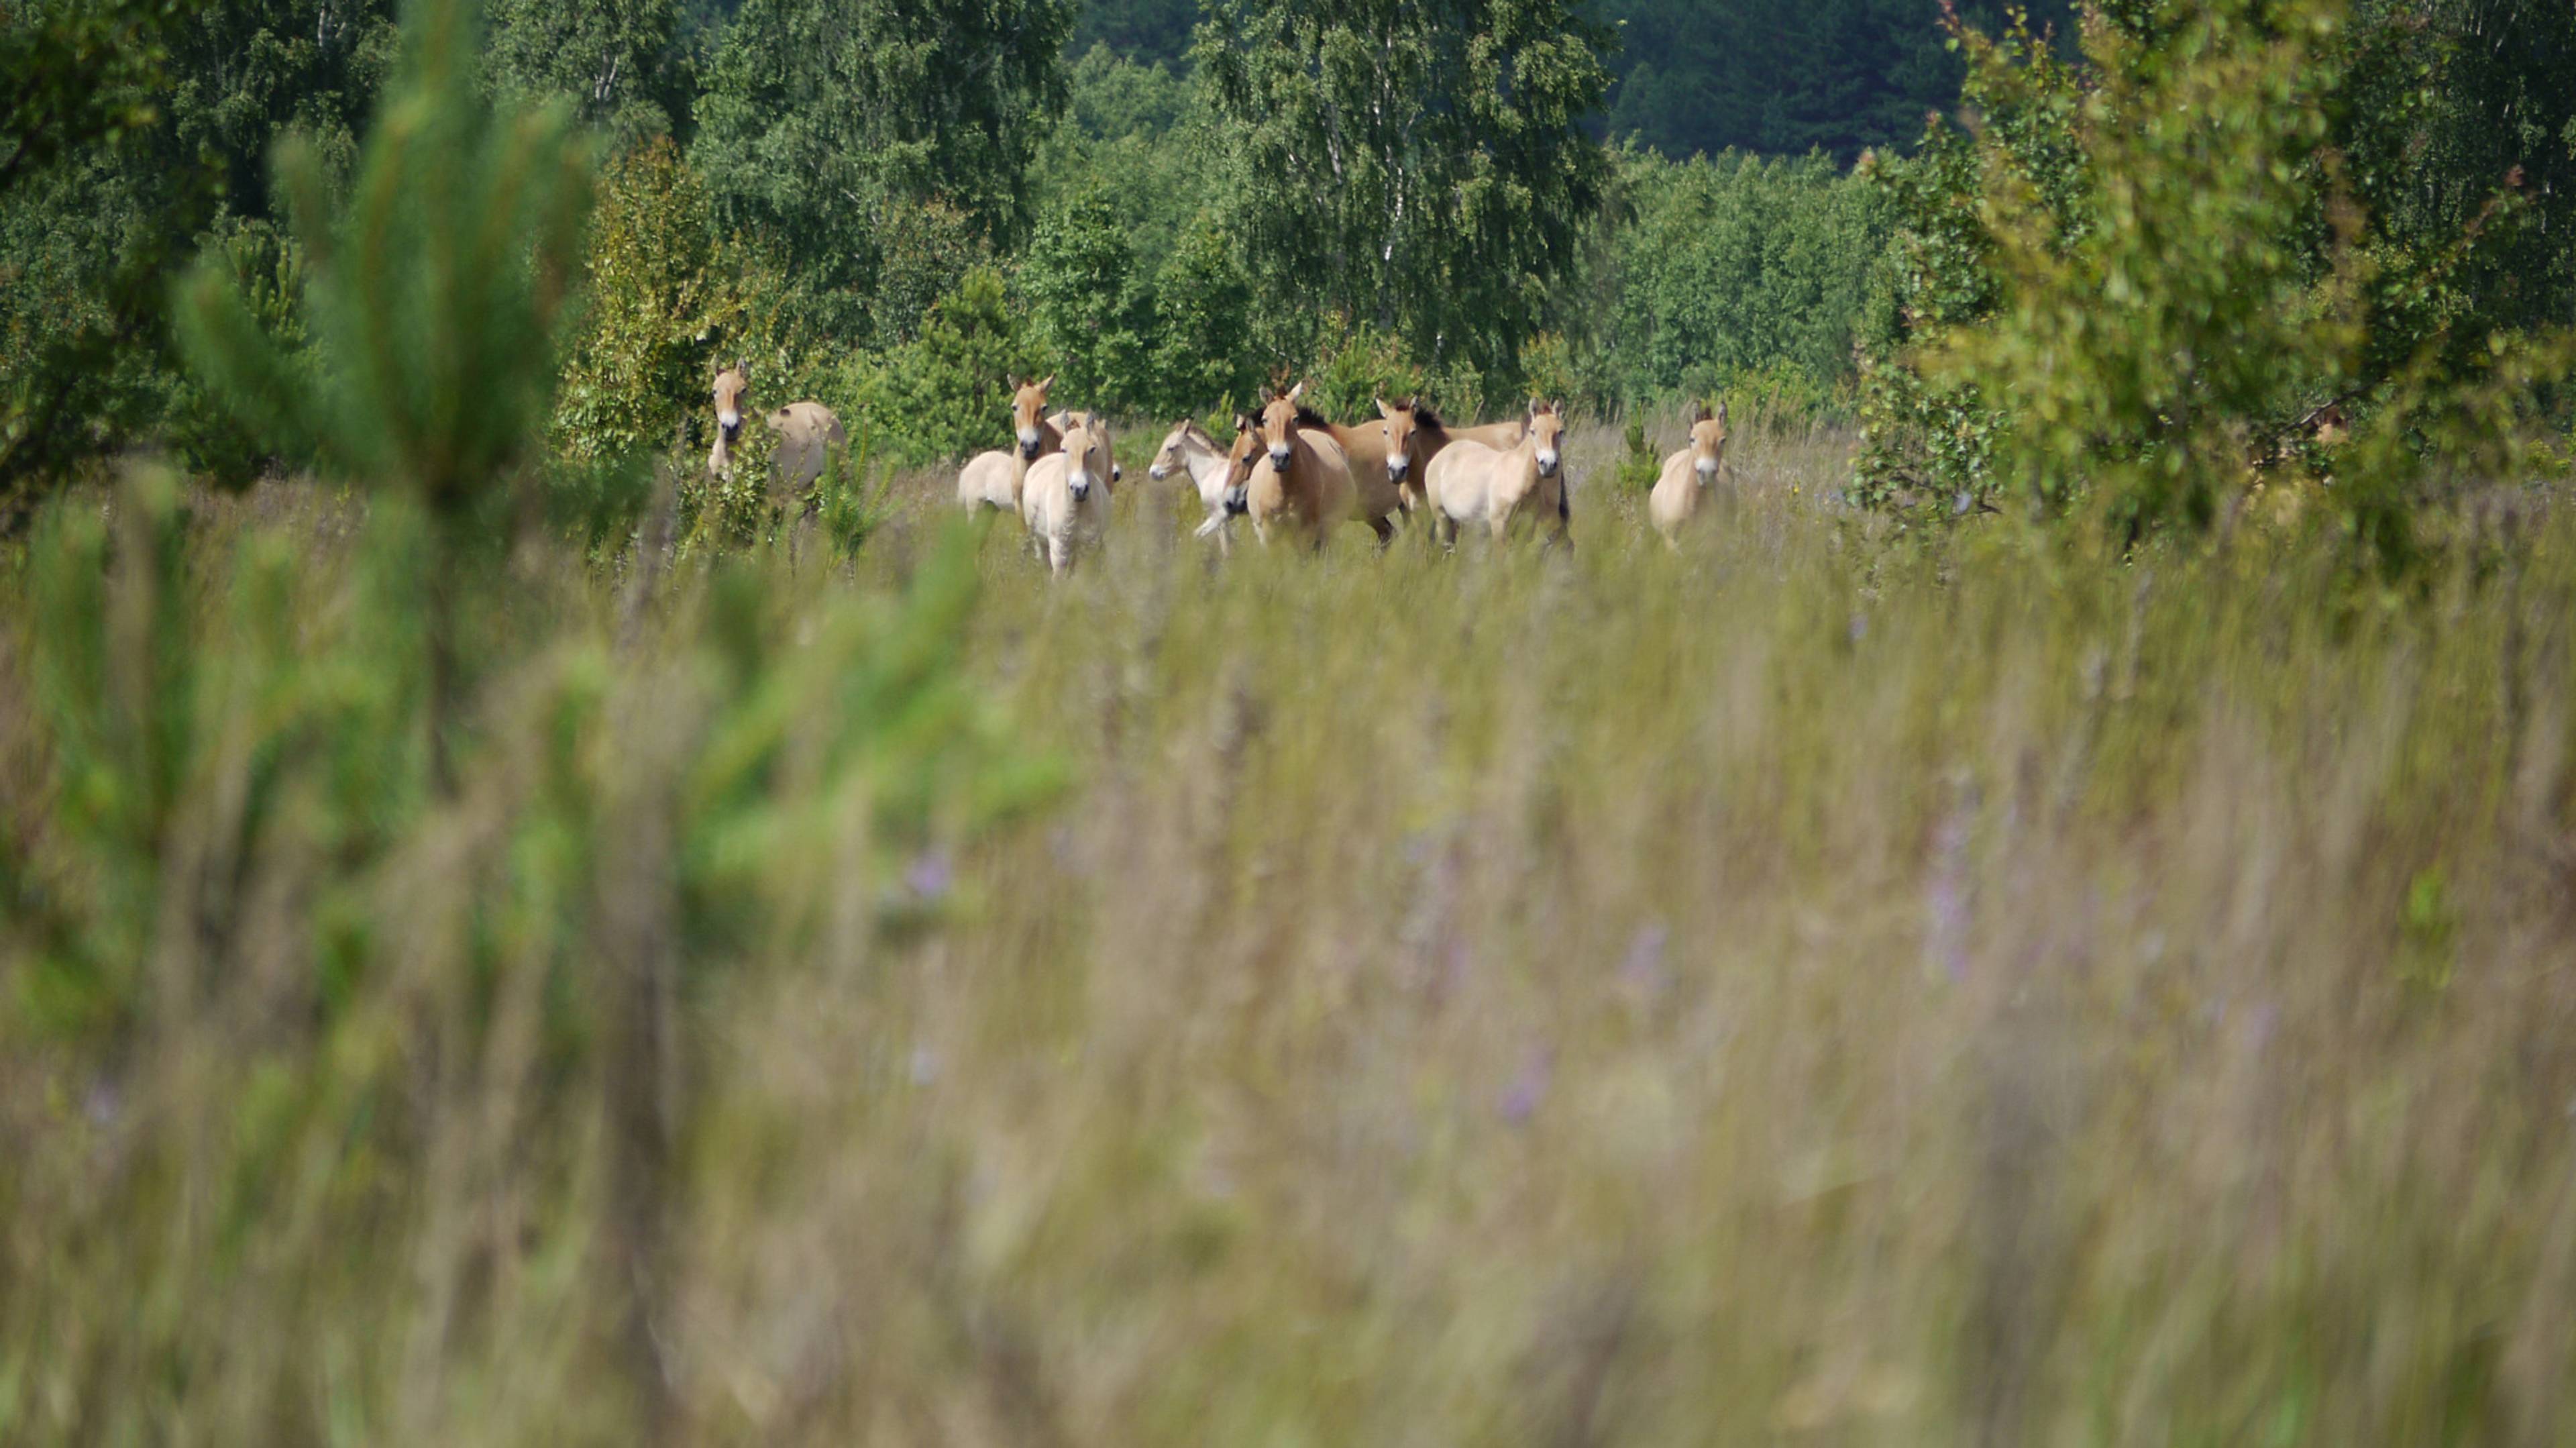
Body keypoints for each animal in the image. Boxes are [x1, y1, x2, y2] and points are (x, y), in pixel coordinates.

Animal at [1014, 409, 1118, 572]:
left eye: (1092, 449)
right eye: (1064, 449)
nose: (1079, 489)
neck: (1077, 509)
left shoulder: (1091, 546)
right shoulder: (1059, 549)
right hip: (1040, 541)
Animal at [1421, 394, 1576, 546]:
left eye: (1561, 431)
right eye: (1533, 431)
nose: (1549, 465)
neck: (1517, 479)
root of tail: (1439, 457)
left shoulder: (1526, 530)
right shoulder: (1499, 527)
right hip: (1442, 520)